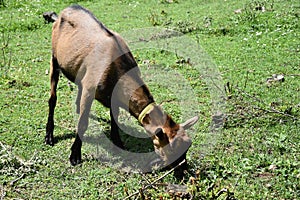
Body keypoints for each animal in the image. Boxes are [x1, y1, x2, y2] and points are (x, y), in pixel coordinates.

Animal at [45, 4, 199, 168]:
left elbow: (114, 118)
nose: (182, 167)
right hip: (54, 59)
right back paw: (49, 136)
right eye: (171, 149)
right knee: (52, 99)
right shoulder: (90, 89)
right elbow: (83, 123)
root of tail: (66, 10)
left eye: (187, 145)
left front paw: (118, 143)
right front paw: (75, 155)